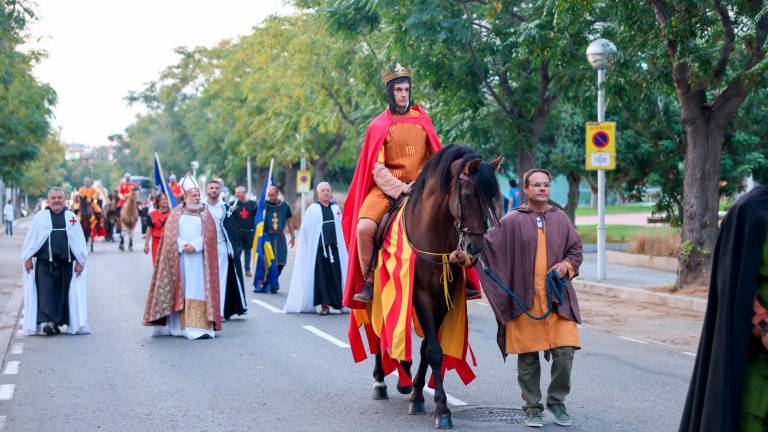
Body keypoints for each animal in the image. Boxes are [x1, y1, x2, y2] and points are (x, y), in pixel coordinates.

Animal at [372, 145, 504, 428]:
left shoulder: (443, 299)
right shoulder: (419, 295)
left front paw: (418, 395)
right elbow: (433, 350)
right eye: (467, 195)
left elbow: (426, 348)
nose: (475, 248)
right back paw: (380, 381)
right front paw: (442, 409)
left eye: (492, 199)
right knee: (377, 331)